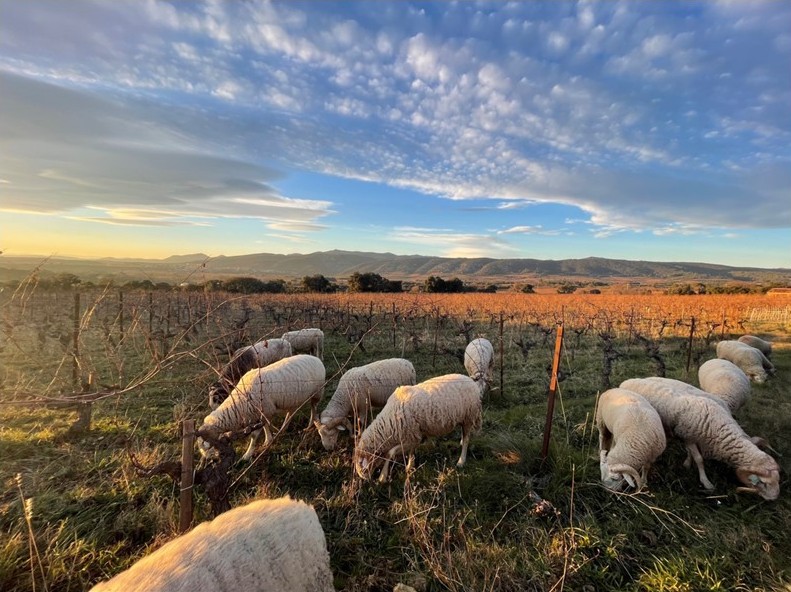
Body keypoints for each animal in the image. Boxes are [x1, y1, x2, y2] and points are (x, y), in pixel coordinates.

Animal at [354, 374, 482, 483]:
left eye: (361, 464)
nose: (365, 479)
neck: (389, 422)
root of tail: (472, 382)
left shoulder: (408, 436)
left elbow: (390, 453)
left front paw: (382, 477)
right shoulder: (414, 434)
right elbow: (412, 450)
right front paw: (410, 466)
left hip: (469, 417)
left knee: (467, 440)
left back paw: (461, 461)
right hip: (463, 419)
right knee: (464, 434)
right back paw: (460, 442)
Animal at [620, 378, 780, 499]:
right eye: (764, 483)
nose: (773, 499)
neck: (719, 425)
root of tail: (627, 381)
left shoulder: (692, 436)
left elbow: (692, 454)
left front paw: (687, 463)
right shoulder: (689, 437)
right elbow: (699, 459)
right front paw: (706, 482)